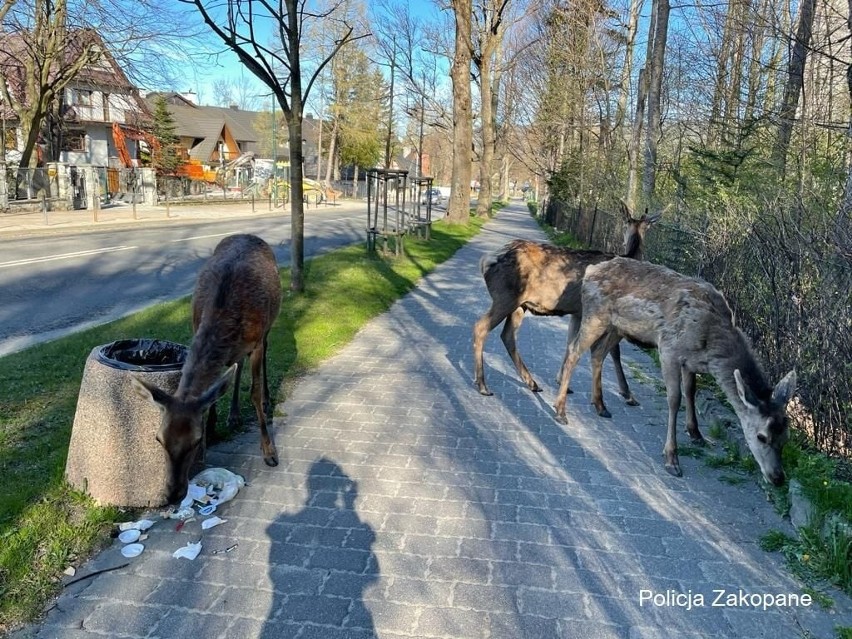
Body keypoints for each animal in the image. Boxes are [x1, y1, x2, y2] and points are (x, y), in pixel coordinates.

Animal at [131, 234, 282, 504]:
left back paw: (266, 401)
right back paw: (233, 415)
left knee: (265, 352)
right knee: (237, 366)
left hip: (269, 325)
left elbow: (253, 392)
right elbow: (212, 393)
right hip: (239, 349)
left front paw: (268, 451)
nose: (173, 494)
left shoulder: (255, 342)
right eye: (158, 438)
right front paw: (213, 428)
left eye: (195, 441)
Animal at [472, 202, 664, 400]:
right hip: (505, 297)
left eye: (646, 226)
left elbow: (570, 343)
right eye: (627, 223)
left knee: (508, 335)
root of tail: (486, 259)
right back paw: (483, 385)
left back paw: (532, 383)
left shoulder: (577, 312)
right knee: (481, 327)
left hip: (519, 304)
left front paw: (561, 381)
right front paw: (628, 394)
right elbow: (614, 352)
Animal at [556, 258, 796, 488]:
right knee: (574, 351)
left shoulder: (690, 362)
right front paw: (672, 458)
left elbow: (690, 392)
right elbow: (674, 399)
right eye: (761, 436)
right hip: (595, 314)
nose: (778, 477)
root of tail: (590, 271)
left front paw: (698, 435)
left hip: (618, 327)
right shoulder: (669, 349)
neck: (710, 343)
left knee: (597, 353)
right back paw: (560, 411)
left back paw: (600, 406)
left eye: (785, 437)